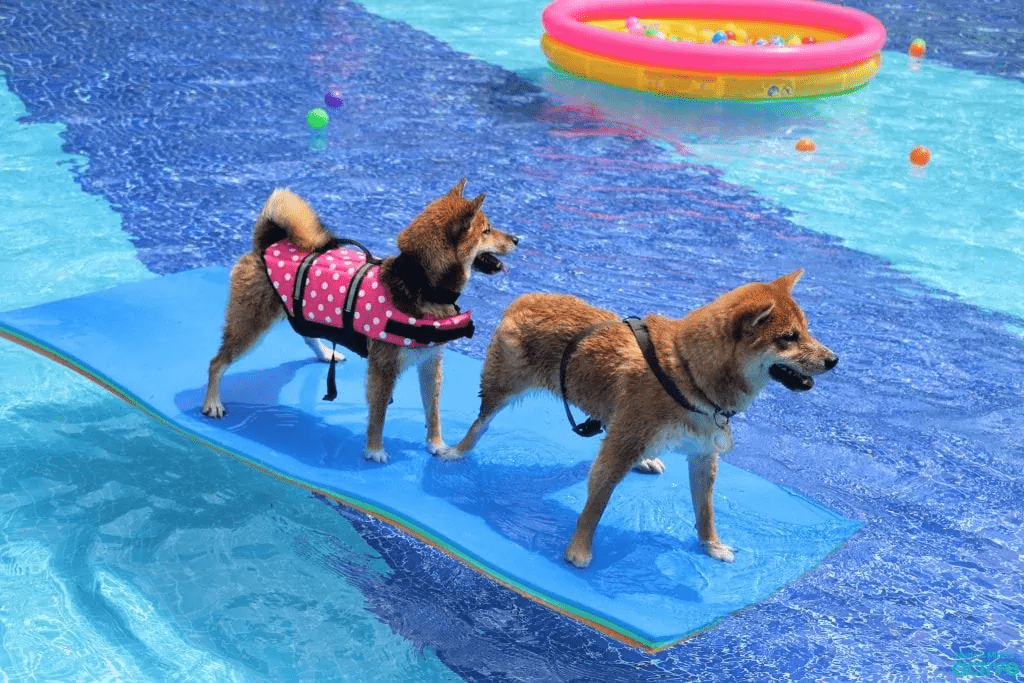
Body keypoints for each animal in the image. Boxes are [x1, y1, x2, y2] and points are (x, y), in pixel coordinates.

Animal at [201, 179, 520, 462]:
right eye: (487, 230)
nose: (517, 239)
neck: (419, 284)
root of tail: (267, 243)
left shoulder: (431, 363)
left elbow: (434, 412)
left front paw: (437, 445)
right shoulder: (383, 368)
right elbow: (378, 414)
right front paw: (375, 450)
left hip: (297, 311)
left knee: (305, 332)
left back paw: (324, 352)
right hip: (250, 327)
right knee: (217, 362)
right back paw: (212, 402)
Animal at [438, 270, 831, 565]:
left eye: (806, 331)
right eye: (788, 337)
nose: (834, 359)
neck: (687, 372)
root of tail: (525, 298)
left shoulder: (703, 455)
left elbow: (705, 512)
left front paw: (711, 545)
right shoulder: (623, 445)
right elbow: (596, 504)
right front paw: (578, 550)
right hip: (502, 388)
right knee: (480, 424)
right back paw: (454, 450)